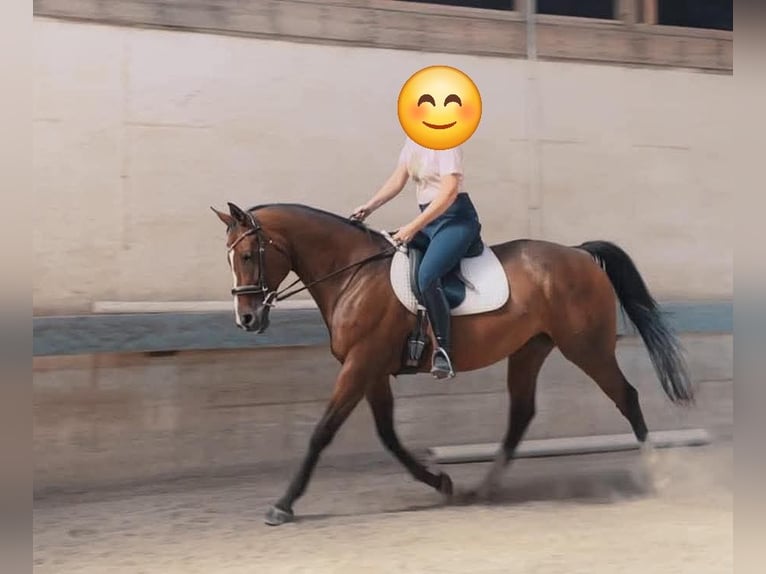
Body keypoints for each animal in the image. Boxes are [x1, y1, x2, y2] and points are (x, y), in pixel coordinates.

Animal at [211, 201, 693, 526]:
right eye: (229, 256)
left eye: (249, 255)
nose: (246, 319)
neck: (352, 273)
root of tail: (577, 253)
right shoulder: (371, 370)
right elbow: (389, 437)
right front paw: (441, 482)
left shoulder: (360, 364)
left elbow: (321, 432)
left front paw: (283, 505)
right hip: (530, 349)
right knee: (521, 414)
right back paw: (485, 488)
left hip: (586, 348)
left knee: (626, 397)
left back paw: (657, 474)